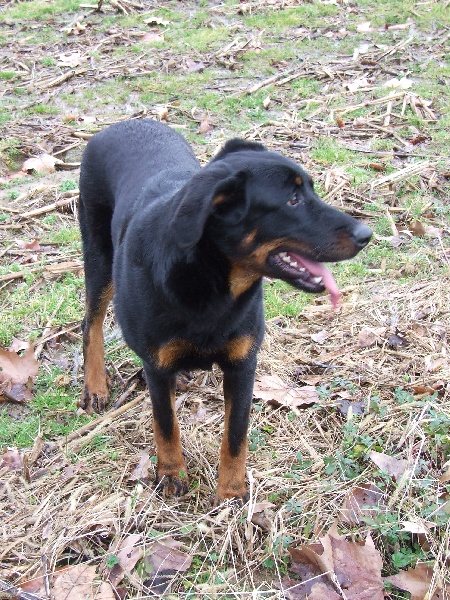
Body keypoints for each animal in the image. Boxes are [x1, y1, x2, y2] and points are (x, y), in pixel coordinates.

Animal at [78, 119, 372, 504]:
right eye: (292, 199)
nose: (367, 233)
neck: (211, 281)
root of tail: (123, 124)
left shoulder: (243, 363)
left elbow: (235, 432)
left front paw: (231, 492)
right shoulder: (156, 365)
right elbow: (166, 425)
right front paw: (172, 474)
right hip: (99, 257)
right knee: (91, 322)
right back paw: (95, 385)